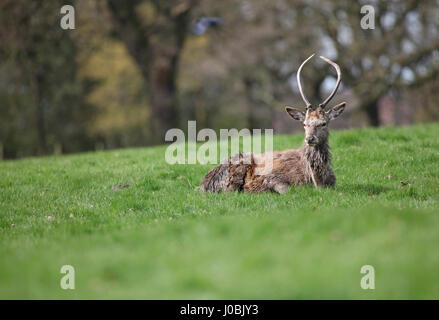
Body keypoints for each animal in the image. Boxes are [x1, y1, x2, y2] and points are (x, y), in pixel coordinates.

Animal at [200, 54, 348, 194]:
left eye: (323, 123)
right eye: (304, 124)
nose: (309, 138)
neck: (317, 182)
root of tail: (202, 184)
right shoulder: (272, 177)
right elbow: (285, 189)